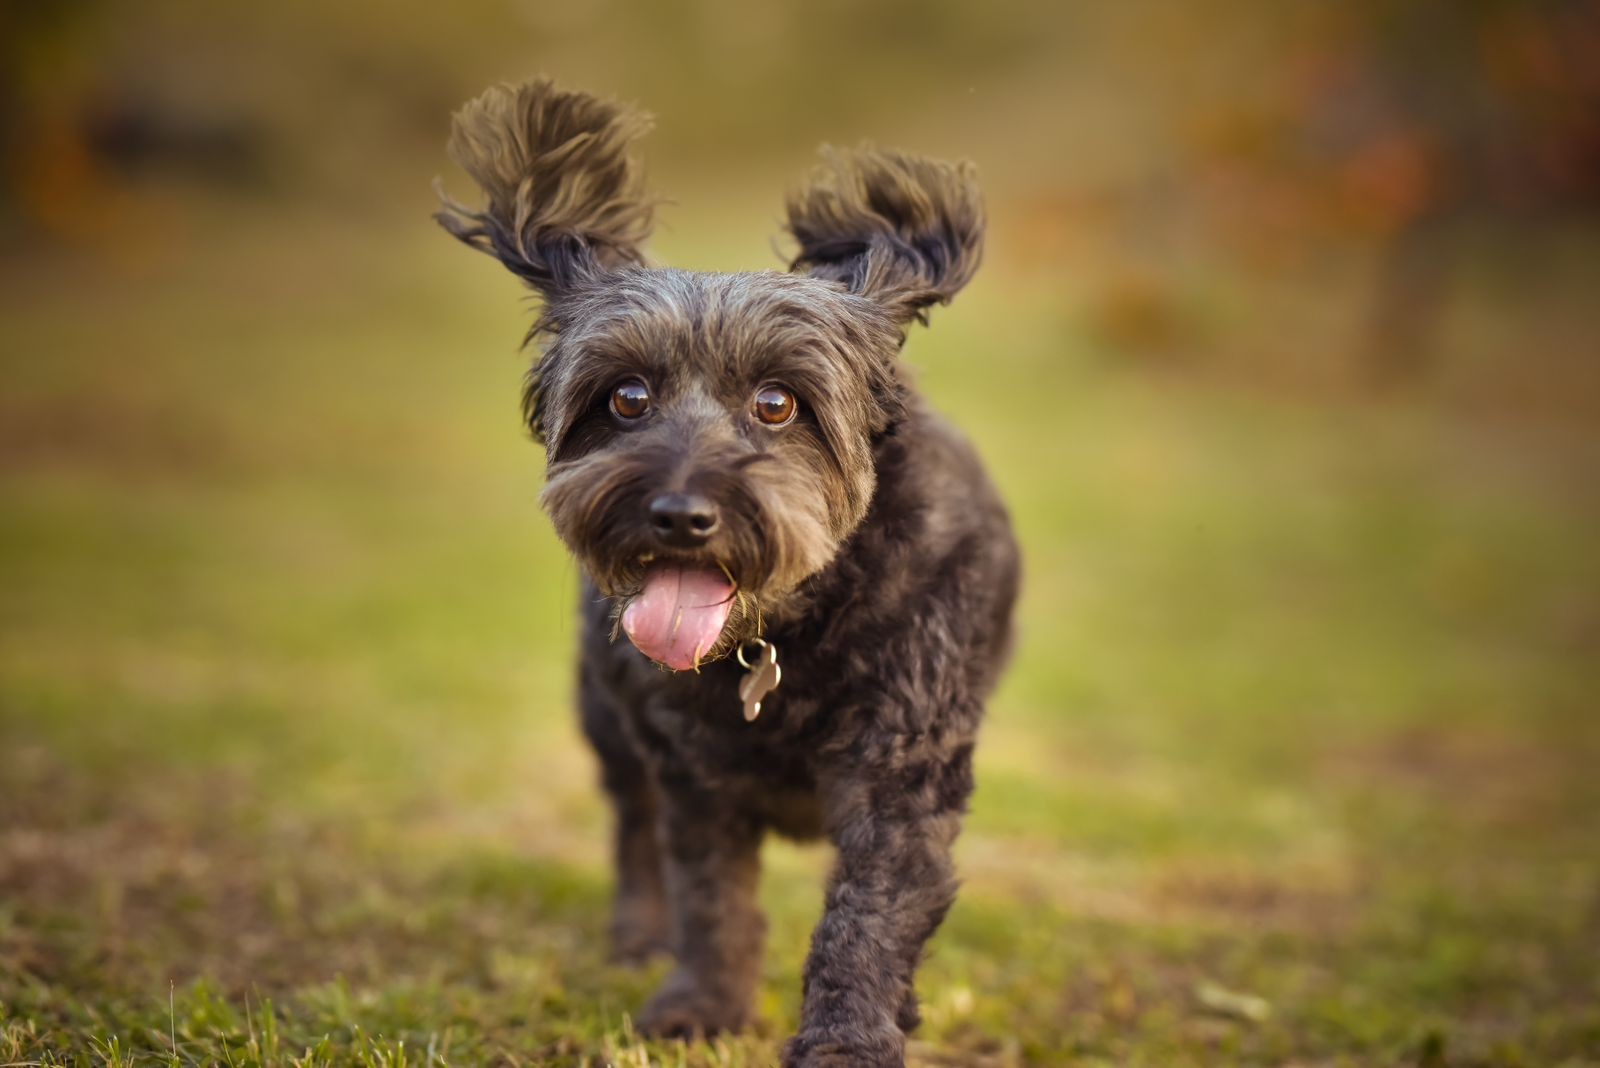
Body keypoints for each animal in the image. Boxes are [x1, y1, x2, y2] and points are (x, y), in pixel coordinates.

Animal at [432, 79, 1017, 1061]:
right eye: (627, 397)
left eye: (778, 404)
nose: (679, 515)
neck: (786, 633)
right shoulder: (691, 771)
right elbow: (710, 895)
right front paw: (705, 1004)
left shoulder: (902, 766)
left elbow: (869, 913)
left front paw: (849, 1039)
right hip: (607, 714)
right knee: (634, 826)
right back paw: (639, 934)